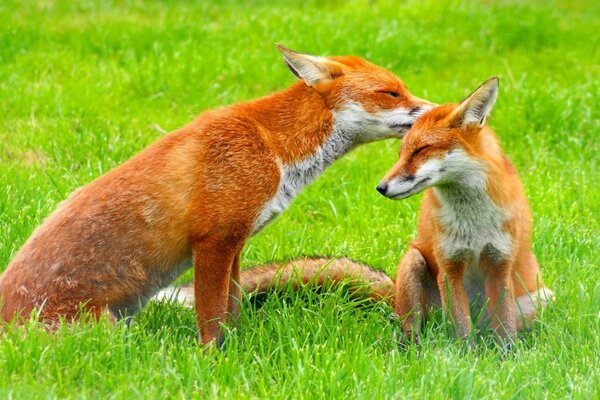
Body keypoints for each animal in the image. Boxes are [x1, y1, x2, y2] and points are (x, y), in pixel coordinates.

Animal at [0, 43, 432, 344]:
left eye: (404, 90)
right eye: (392, 93)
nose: (434, 109)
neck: (274, 148)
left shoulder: (235, 243)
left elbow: (233, 308)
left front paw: (237, 349)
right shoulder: (212, 241)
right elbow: (210, 317)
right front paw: (212, 358)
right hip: (104, 329)